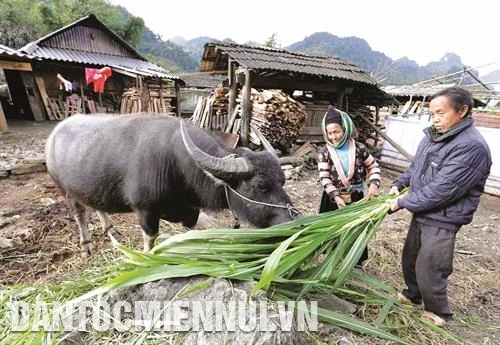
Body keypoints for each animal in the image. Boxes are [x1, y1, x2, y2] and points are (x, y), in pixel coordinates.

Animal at [45, 114, 298, 254]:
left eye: (282, 181)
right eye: (260, 186)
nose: (295, 220)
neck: (175, 166)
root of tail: (53, 136)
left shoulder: (191, 213)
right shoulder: (146, 211)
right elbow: (150, 241)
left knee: (97, 205)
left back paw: (111, 229)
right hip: (65, 191)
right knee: (80, 213)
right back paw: (86, 245)